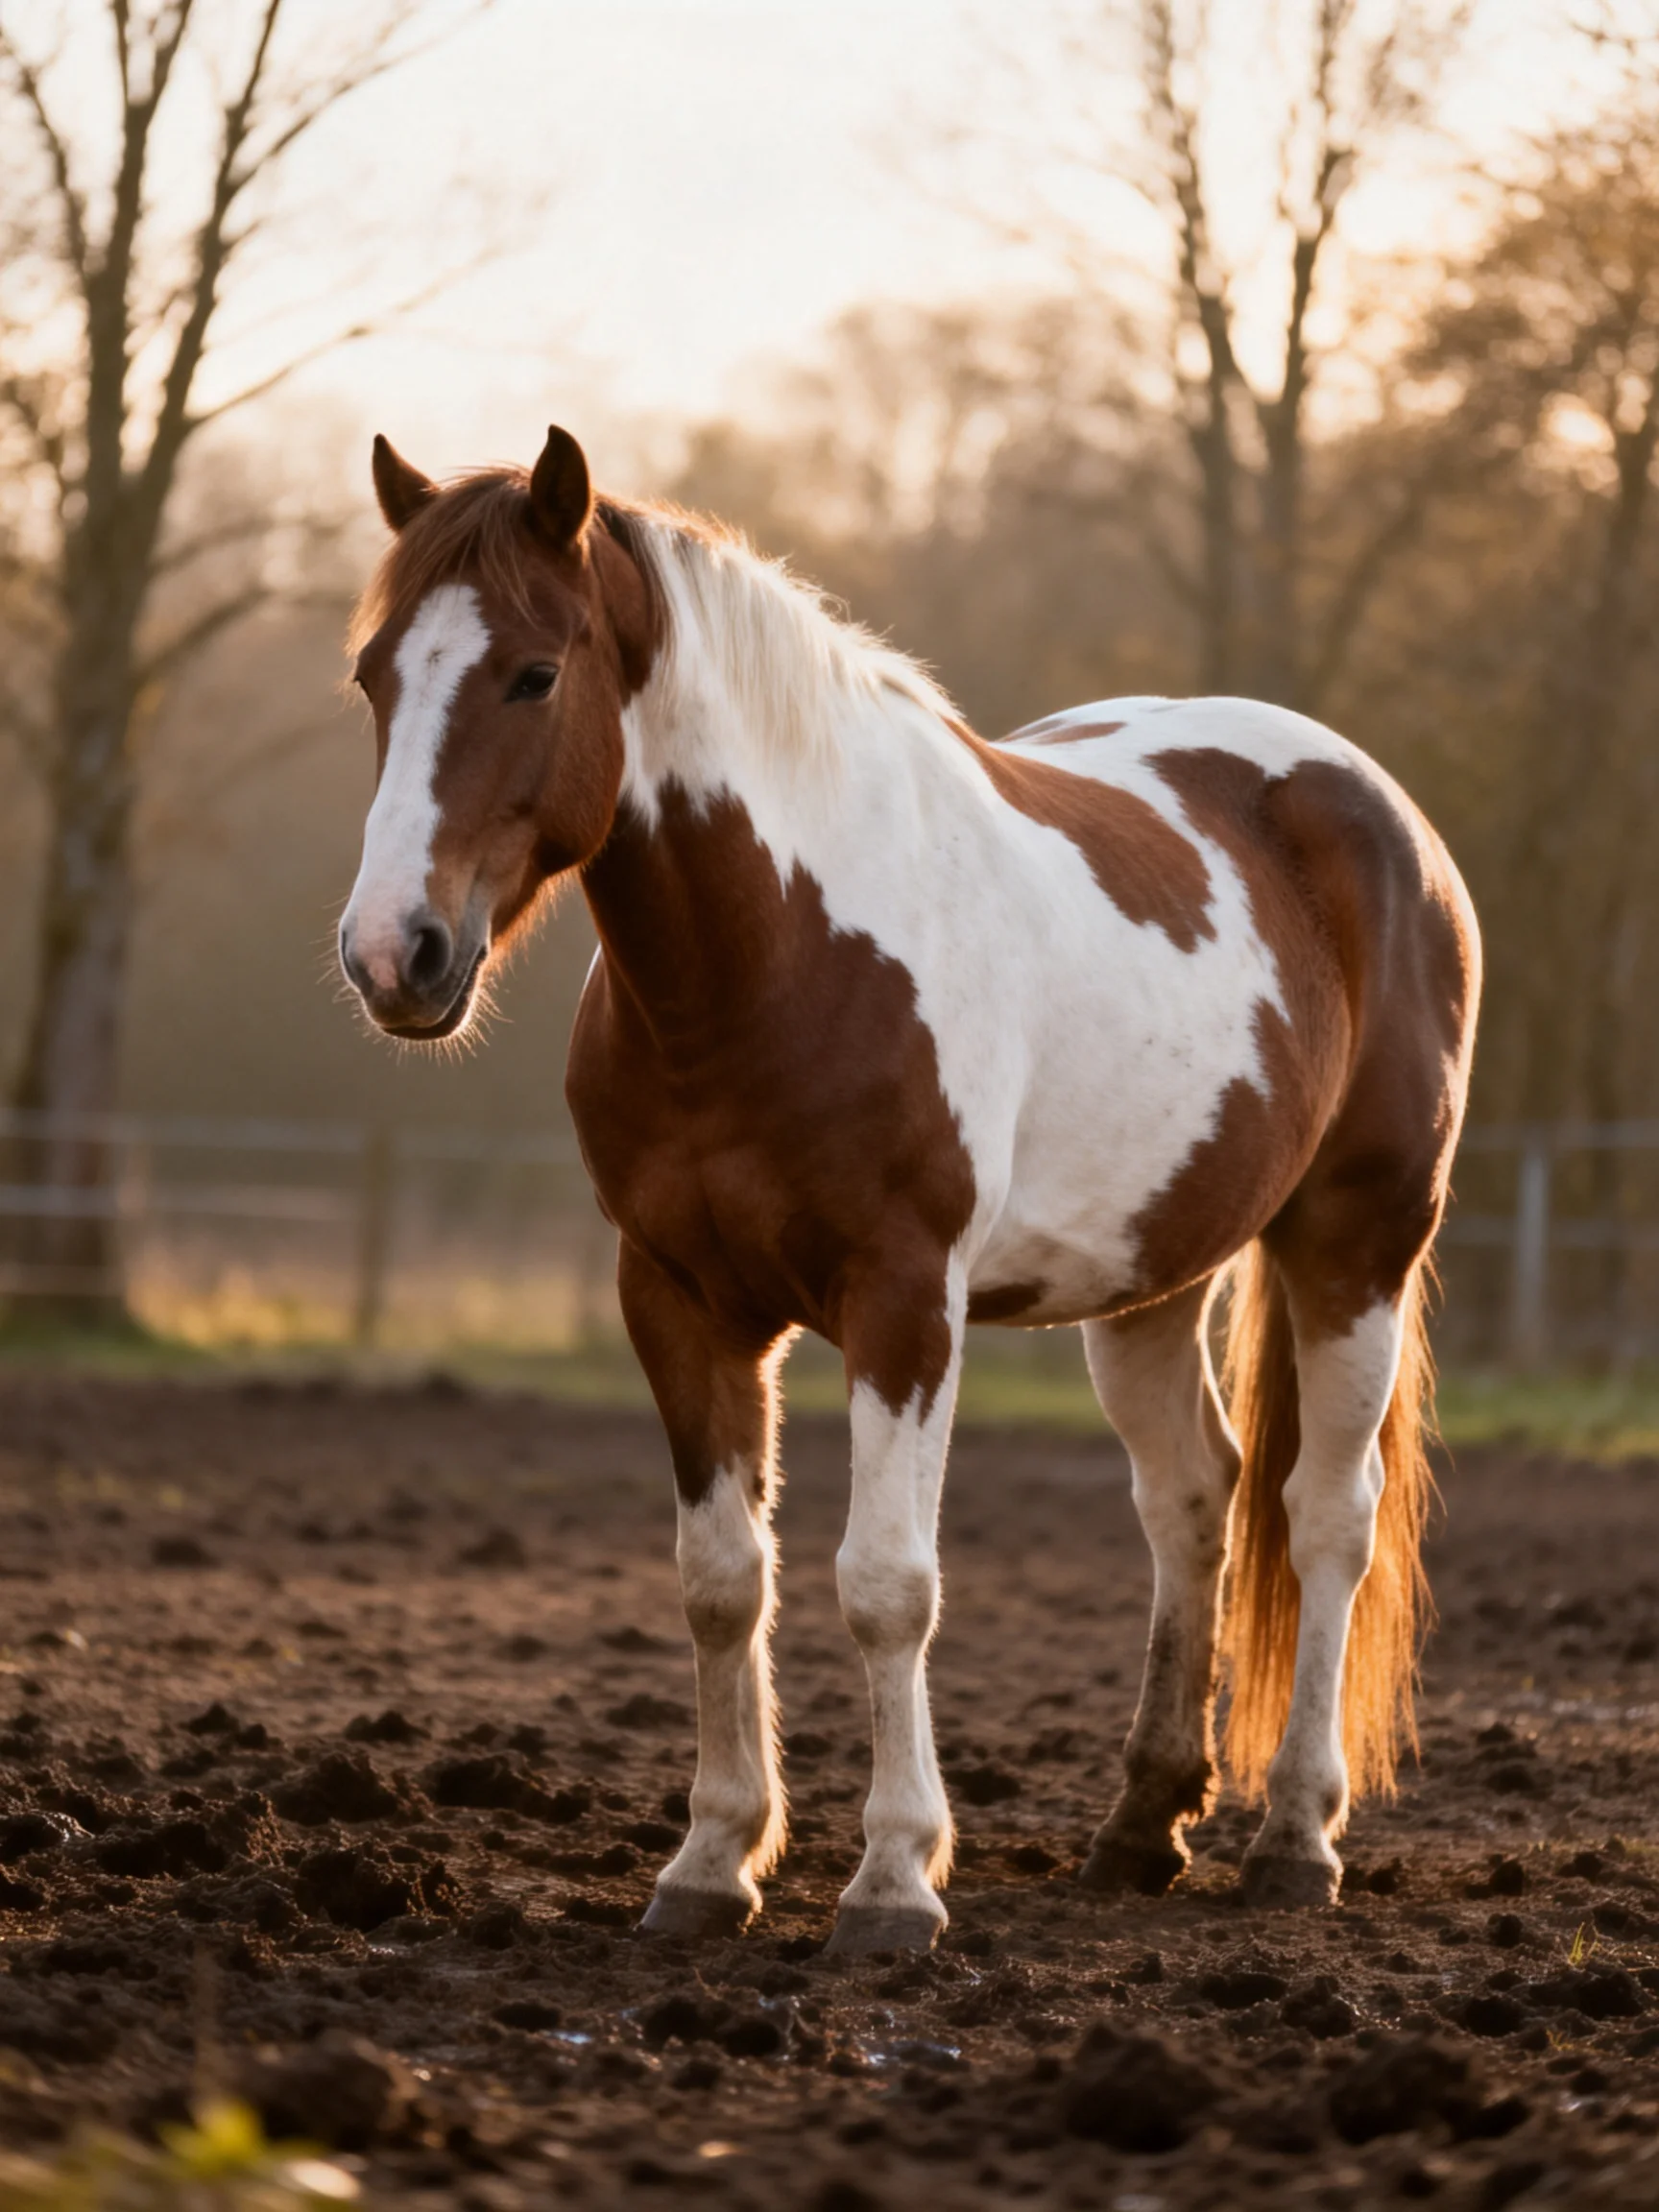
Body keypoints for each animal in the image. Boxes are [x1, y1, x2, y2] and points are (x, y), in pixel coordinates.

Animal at [338, 424, 1481, 1955]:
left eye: (531, 672)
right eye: (374, 674)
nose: (392, 953)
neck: (775, 958)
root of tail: (1377, 808)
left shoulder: (902, 1302)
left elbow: (887, 1587)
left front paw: (892, 1882)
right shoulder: (677, 1299)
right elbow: (721, 1583)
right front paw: (711, 1865)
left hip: (1357, 1244)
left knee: (1324, 1519)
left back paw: (1297, 1837)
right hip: (1149, 1277)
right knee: (1191, 1498)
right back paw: (1140, 1828)